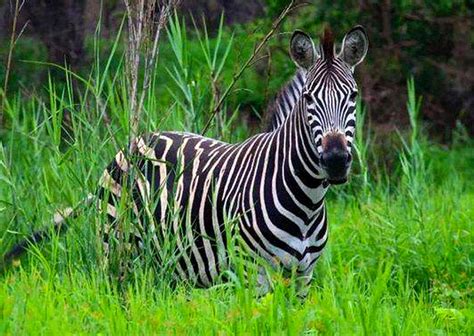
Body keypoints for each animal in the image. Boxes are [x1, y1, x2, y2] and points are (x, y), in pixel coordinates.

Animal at [1, 25, 368, 294]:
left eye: (353, 96)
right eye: (308, 99)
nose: (336, 161)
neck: (307, 199)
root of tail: (133, 144)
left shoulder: (304, 276)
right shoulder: (254, 273)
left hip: (166, 264)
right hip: (116, 250)